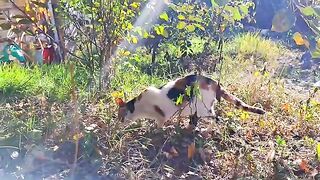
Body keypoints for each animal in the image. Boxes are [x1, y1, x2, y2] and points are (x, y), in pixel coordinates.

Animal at [116, 73, 266, 128]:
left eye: (119, 116)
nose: (118, 123)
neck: (139, 106)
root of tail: (214, 82)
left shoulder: (161, 116)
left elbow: (158, 125)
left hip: (202, 107)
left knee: (216, 118)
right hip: (200, 107)